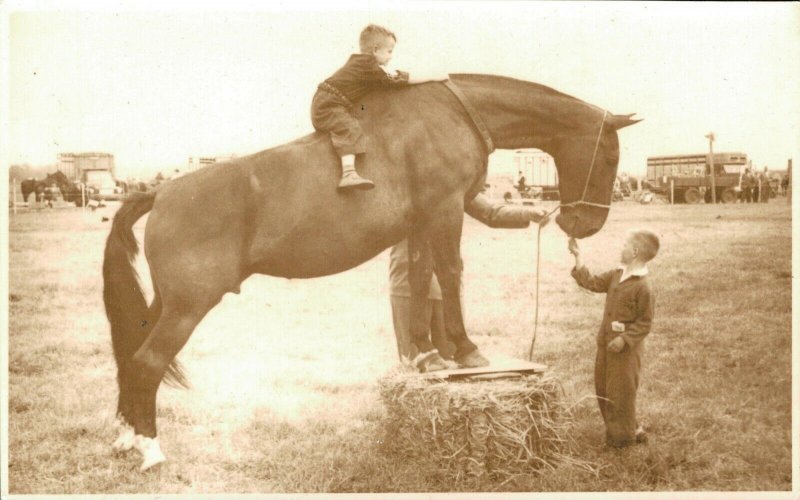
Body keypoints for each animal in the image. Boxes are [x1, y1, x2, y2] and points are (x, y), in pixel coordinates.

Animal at [103, 73, 640, 468]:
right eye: (611, 154)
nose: (583, 223)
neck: (452, 115)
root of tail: (161, 191)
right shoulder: (445, 212)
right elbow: (449, 273)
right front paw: (465, 351)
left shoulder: (422, 223)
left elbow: (421, 279)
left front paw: (427, 354)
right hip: (188, 306)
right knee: (147, 363)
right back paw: (151, 450)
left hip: (166, 303)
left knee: (130, 358)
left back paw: (127, 438)